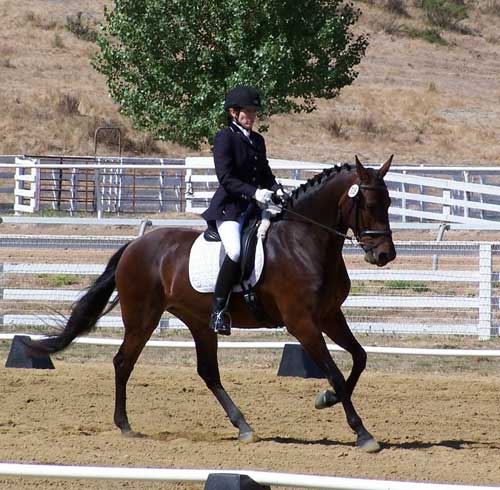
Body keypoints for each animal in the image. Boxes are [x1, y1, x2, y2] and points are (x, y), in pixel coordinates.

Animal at [27, 156, 396, 452]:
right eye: (368, 204)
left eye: (389, 202)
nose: (384, 255)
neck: (304, 240)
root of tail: (134, 245)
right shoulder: (302, 323)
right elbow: (334, 372)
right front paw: (363, 434)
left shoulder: (330, 316)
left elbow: (359, 359)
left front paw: (325, 400)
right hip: (142, 318)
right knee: (123, 362)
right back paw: (125, 426)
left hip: (199, 321)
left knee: (207, 372)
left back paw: (243, 427)